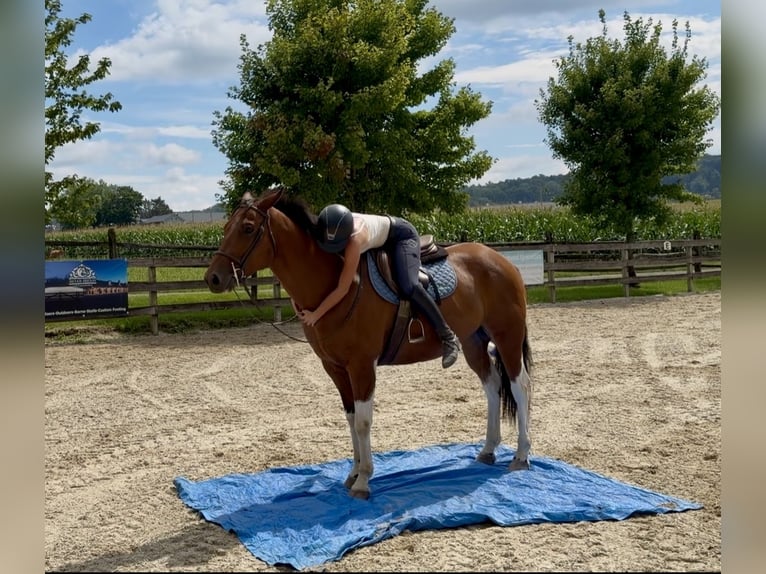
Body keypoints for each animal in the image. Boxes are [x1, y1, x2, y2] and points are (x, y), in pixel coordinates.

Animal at [204, 188, 533, 499]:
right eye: (226, 226)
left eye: (247, 228)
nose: (213, 278)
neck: (335, 283)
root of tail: (502, 261)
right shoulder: (335, 368)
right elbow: (350, 418)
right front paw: (352, 472)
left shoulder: (362, 366)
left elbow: (363, 421)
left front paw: (363, 480)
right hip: (473, 341)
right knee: (492, 386)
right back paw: (488, 449)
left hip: (507, 336)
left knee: (520, 387)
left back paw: (521, 455)